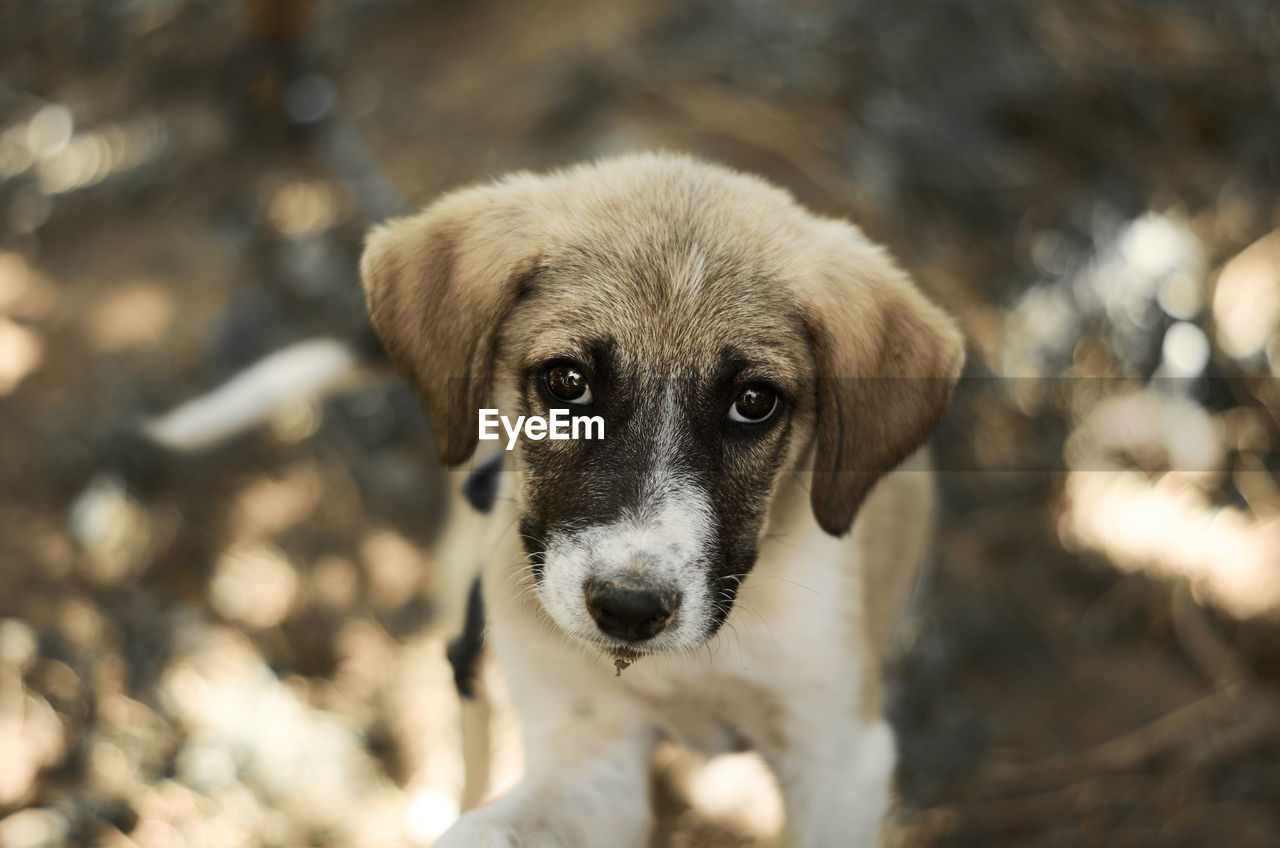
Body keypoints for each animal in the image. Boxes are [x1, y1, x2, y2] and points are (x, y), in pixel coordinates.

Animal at [360, 154, 962, 848]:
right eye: (567, 382)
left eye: (754, 402)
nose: (629, 608)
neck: (686, 669)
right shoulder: (591, 754)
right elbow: (483, 829)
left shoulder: (837, 758)